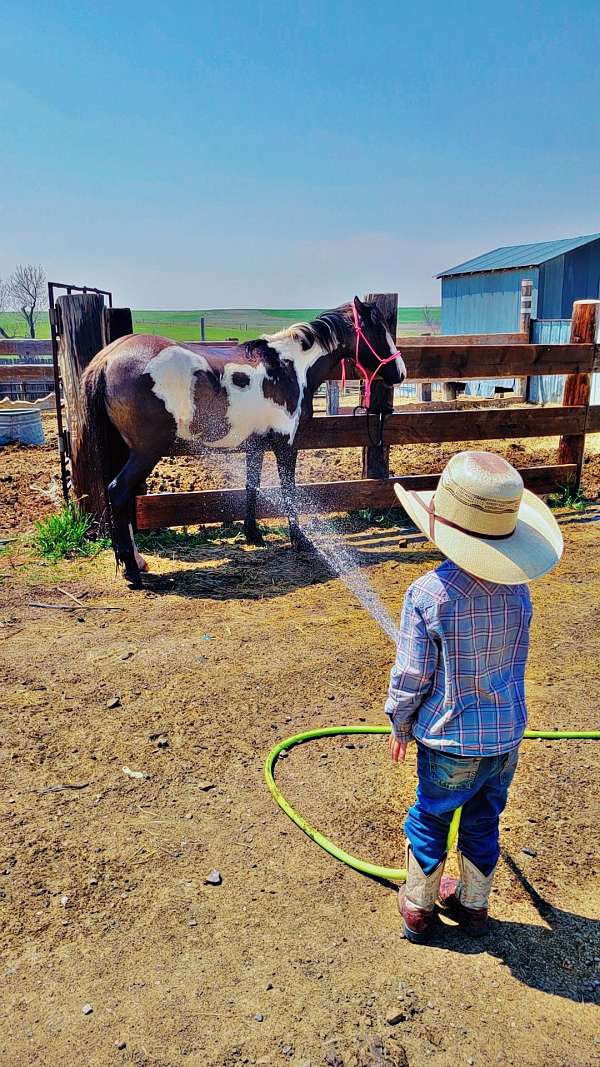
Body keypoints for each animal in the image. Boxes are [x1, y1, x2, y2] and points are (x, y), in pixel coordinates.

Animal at [79, 296, 403, 588]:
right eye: (378, 330)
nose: (400, 372)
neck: (288, 366)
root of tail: (108, 358)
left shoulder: (255, 445)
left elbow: (252, 485)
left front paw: (253, 534)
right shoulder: (286, 443)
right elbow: (288, 489)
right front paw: (300, 540)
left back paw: (136, 562)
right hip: (145, 453)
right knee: (119, 492)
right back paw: (133, 572)